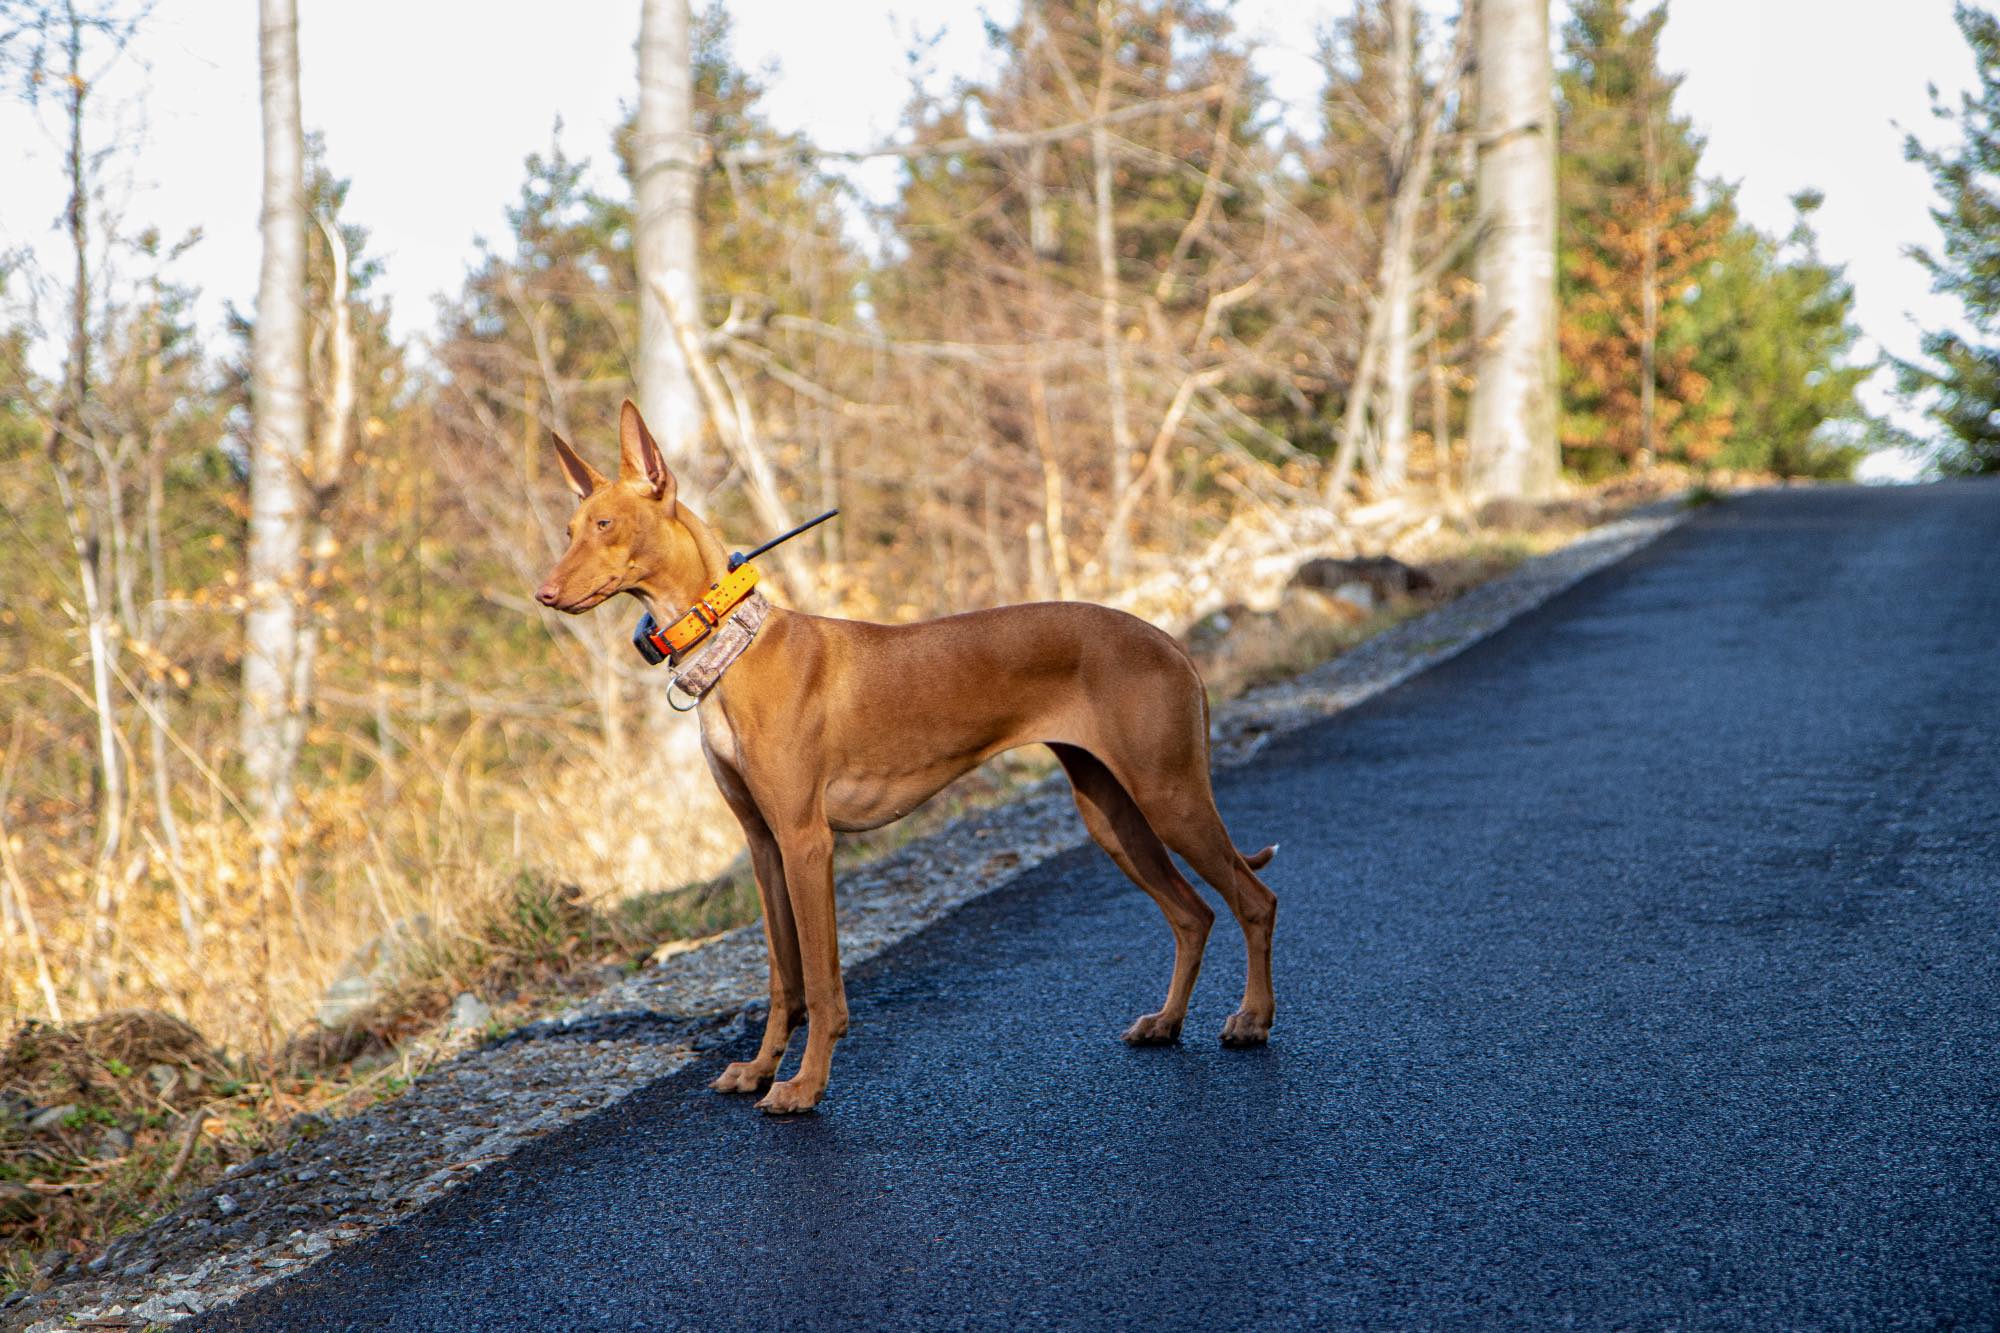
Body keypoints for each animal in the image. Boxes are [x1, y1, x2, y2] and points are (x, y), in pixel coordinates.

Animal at [536, 402, 1280, 1112]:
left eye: (604, 522)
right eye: (568, 529)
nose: (544, 594)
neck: (733, 648)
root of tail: (1168, 638)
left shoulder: (806, 841)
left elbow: (822, 983)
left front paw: (805, 1086)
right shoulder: (764, 843)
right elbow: (783, 978)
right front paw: (758, 1069)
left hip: (1169, 796)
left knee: (1254, 899)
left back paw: (1252, 1019)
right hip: (1111, 814)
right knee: (1192, 913)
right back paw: (1167, 1021)